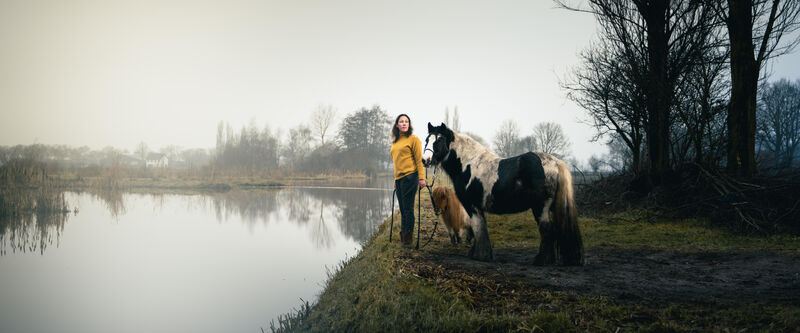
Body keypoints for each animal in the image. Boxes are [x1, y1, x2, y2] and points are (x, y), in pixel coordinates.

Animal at [422, 122, 584, 264]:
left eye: (439, 140)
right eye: (427, 140)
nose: (425, 160)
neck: (468, 165)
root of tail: (556, 163)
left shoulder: (472, 206)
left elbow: (477, 228)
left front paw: (480, 256)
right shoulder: (478, 207)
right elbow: (479, 229)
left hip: (540, 208)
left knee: (547, 231)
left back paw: (541, 261)